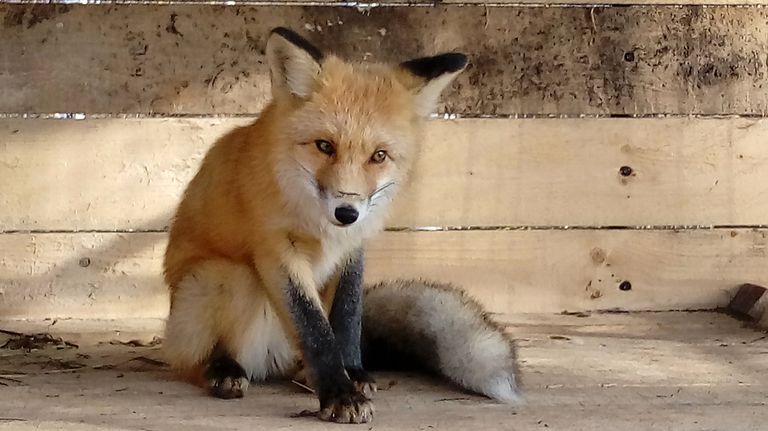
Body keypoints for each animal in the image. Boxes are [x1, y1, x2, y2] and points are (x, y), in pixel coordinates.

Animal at [162, 27, 518, 424]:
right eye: (324, 146)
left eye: (379, 156)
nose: (346, 212)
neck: (322, 228)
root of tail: (273, 358)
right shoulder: (276, 249)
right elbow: (315, 328)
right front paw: (339, 393)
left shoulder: (354, 246)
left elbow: (347, 317)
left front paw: (352, 372)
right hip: (222, 276)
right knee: (195, 356)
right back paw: (223, 370)